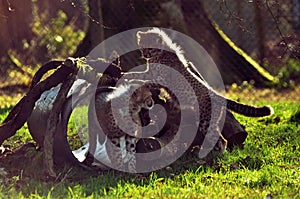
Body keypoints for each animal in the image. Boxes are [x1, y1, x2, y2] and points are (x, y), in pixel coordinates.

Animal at [122, 28, 274, 159]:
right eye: (142, 46)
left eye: (150, 47)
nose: (145, 55)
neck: (159, 52)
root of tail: (217, 95)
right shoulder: (151, 73)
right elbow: (139, 74)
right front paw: (126, 75)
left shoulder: (159, 79)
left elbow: (144, 80)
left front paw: (129, 78)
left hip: (206, 121)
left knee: (221, 139)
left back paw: (214, 154)